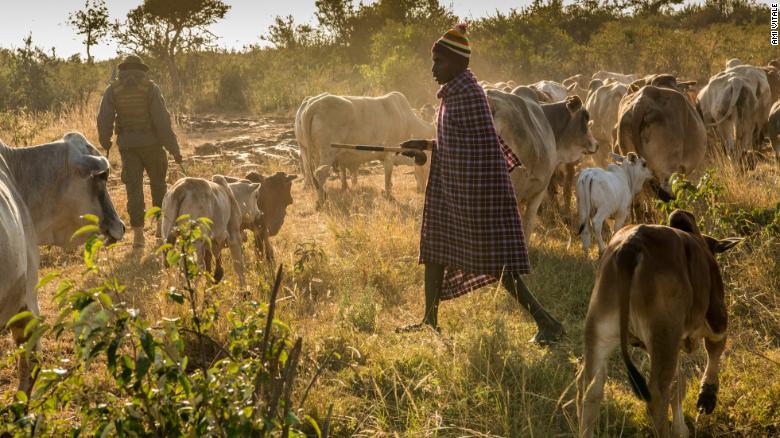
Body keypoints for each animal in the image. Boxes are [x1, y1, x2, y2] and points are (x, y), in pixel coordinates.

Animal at [296, 93, 436, 203]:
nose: (422, 191)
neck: (408, 122)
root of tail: (314, 105)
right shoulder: (389, 155)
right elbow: (388, 179)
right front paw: (389, 196)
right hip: (327, 152)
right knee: (320, 173)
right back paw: (321, 201)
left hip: (309, 151)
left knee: (310, 172)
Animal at [576, 210, 740, 436]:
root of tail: (631, 245)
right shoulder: (716, 318)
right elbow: (713, 350)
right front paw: (706, 396)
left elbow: (678, 384)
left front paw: (681, 429)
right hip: (665, 335)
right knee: (656, 397)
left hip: (600, 328)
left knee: (590, 386)